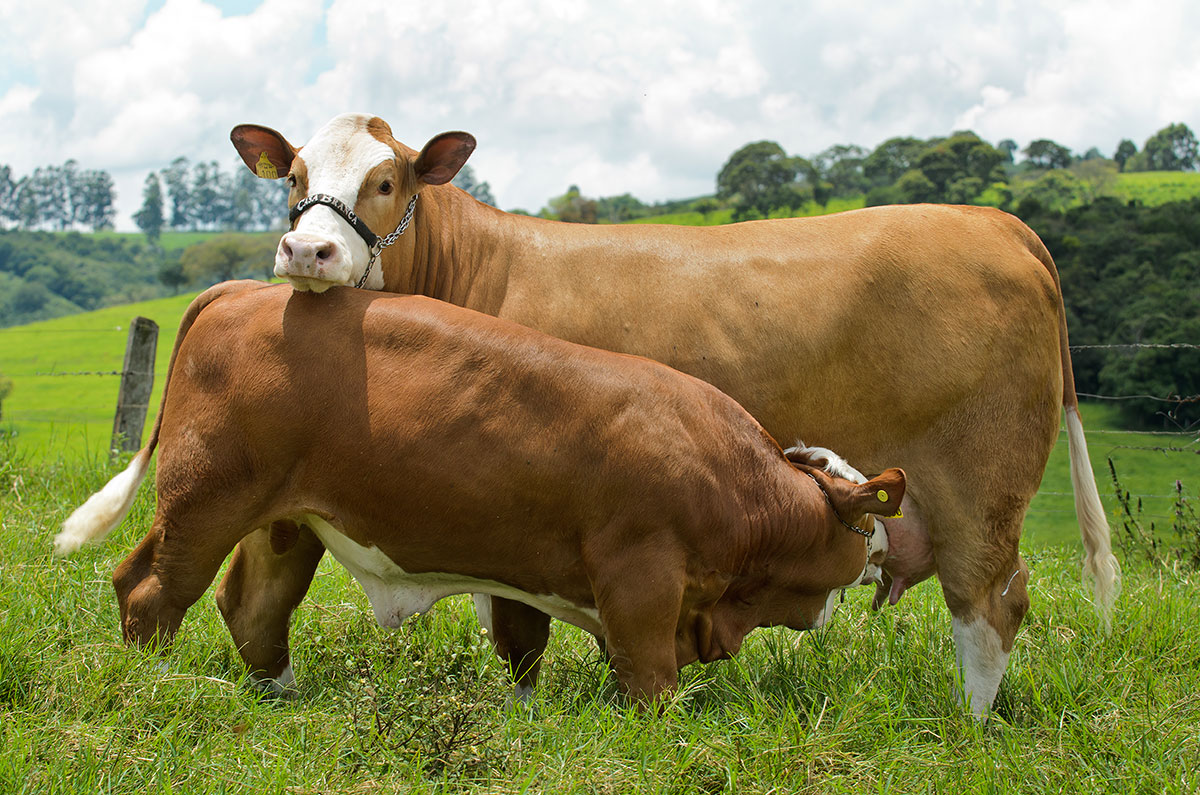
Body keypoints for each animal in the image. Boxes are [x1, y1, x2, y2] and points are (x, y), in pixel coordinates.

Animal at [54, 282, 902, 706]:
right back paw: (154, 684)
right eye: (867, 528)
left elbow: (531, 647)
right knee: (151, 588)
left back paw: (283, 696)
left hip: (286, 518)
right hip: (204, 499)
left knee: (253, 605)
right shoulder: (640, 574)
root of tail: (247, 288)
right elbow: (647, 672)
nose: (887, 567)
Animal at [220, 113, 1118, 715]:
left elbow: (520, 629)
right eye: (293, 175)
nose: (308, 252)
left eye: (389, 179)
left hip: (978, 491)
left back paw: (969, 723)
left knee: (989, 606)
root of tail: (992, 218)